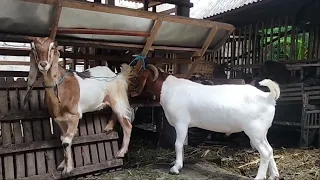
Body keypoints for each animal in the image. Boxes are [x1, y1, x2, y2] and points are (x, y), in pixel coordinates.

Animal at [23, 37, 134, 176]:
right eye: (33, 48)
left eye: (52, 47)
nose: (43, 64)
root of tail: (116, 75)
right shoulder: (60, 120)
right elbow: (63, 139)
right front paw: (63, 164)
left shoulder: (74, 116)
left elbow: (66, 141)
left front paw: (67, 169)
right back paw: (108, 128)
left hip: (117, 99)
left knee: (127, 124)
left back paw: (120, 152)